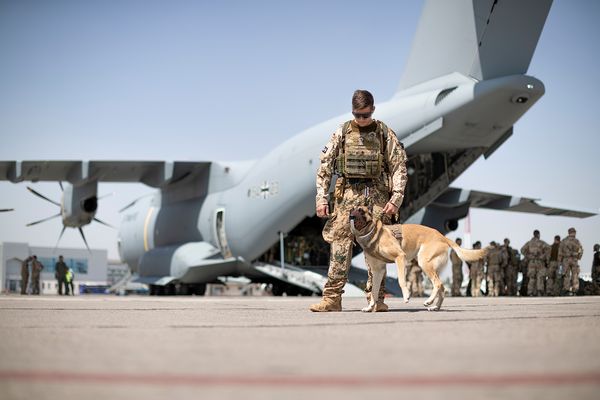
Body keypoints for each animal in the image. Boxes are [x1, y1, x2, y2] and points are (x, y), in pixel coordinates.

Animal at [350, 206, 486, 312]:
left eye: (361, 210)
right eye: (352, 209)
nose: (351, 216)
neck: (373, 233)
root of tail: (442, 236)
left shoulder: (400, 257)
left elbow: (401, 280)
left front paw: (406, 295)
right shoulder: (378, 271)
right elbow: (374, 291)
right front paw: (370, 307)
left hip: (424, 263)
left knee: (438, 284)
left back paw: (429, 301)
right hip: (432, 267)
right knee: (442, 287)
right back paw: (436, 307)